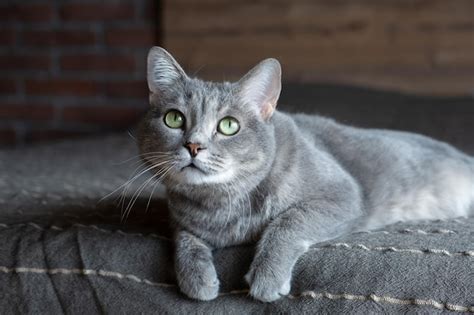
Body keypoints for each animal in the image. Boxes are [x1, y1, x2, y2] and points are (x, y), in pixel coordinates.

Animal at [139, 47, 474, 304]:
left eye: (229, 126)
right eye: (173, 118)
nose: (194, 145)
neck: (221, 204)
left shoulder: (342, 195)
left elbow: (288, 222)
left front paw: (267, 277)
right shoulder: (180, 220)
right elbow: (184, 240)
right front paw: (197, 280)